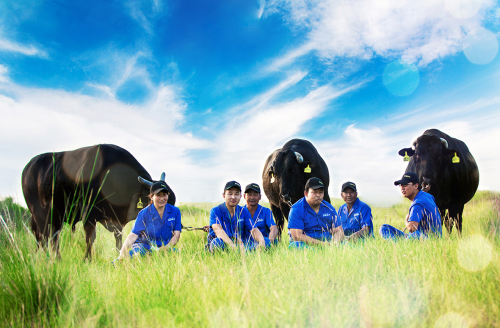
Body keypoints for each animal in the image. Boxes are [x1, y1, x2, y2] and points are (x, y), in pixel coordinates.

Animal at [22, 145, 176, 260]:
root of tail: (29, 166)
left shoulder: (117, 221)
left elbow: (118, 239)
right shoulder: (88, 215)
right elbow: (90, 238)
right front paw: (87, 259)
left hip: (54, 218)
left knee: (51, 238)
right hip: (41, 216)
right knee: (45, 238)